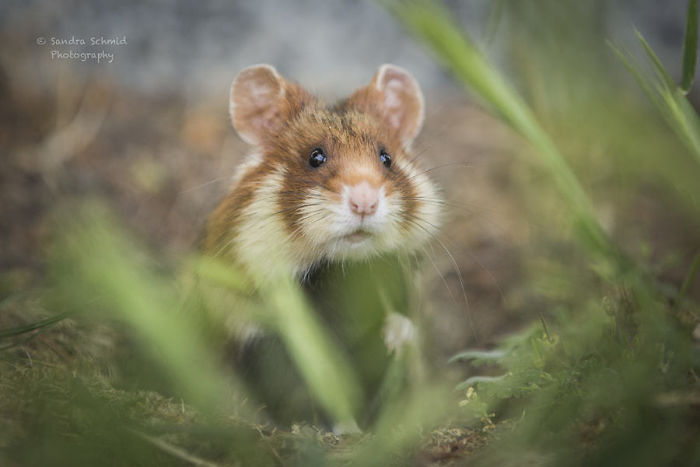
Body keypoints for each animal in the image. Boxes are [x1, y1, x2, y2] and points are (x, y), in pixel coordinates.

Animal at [201, 64, 441, 428]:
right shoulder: (266, 343)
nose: (365, 202)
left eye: (386, 158)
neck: (344, 273)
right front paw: (346, 431)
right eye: (315, 157)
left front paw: (397, 334)